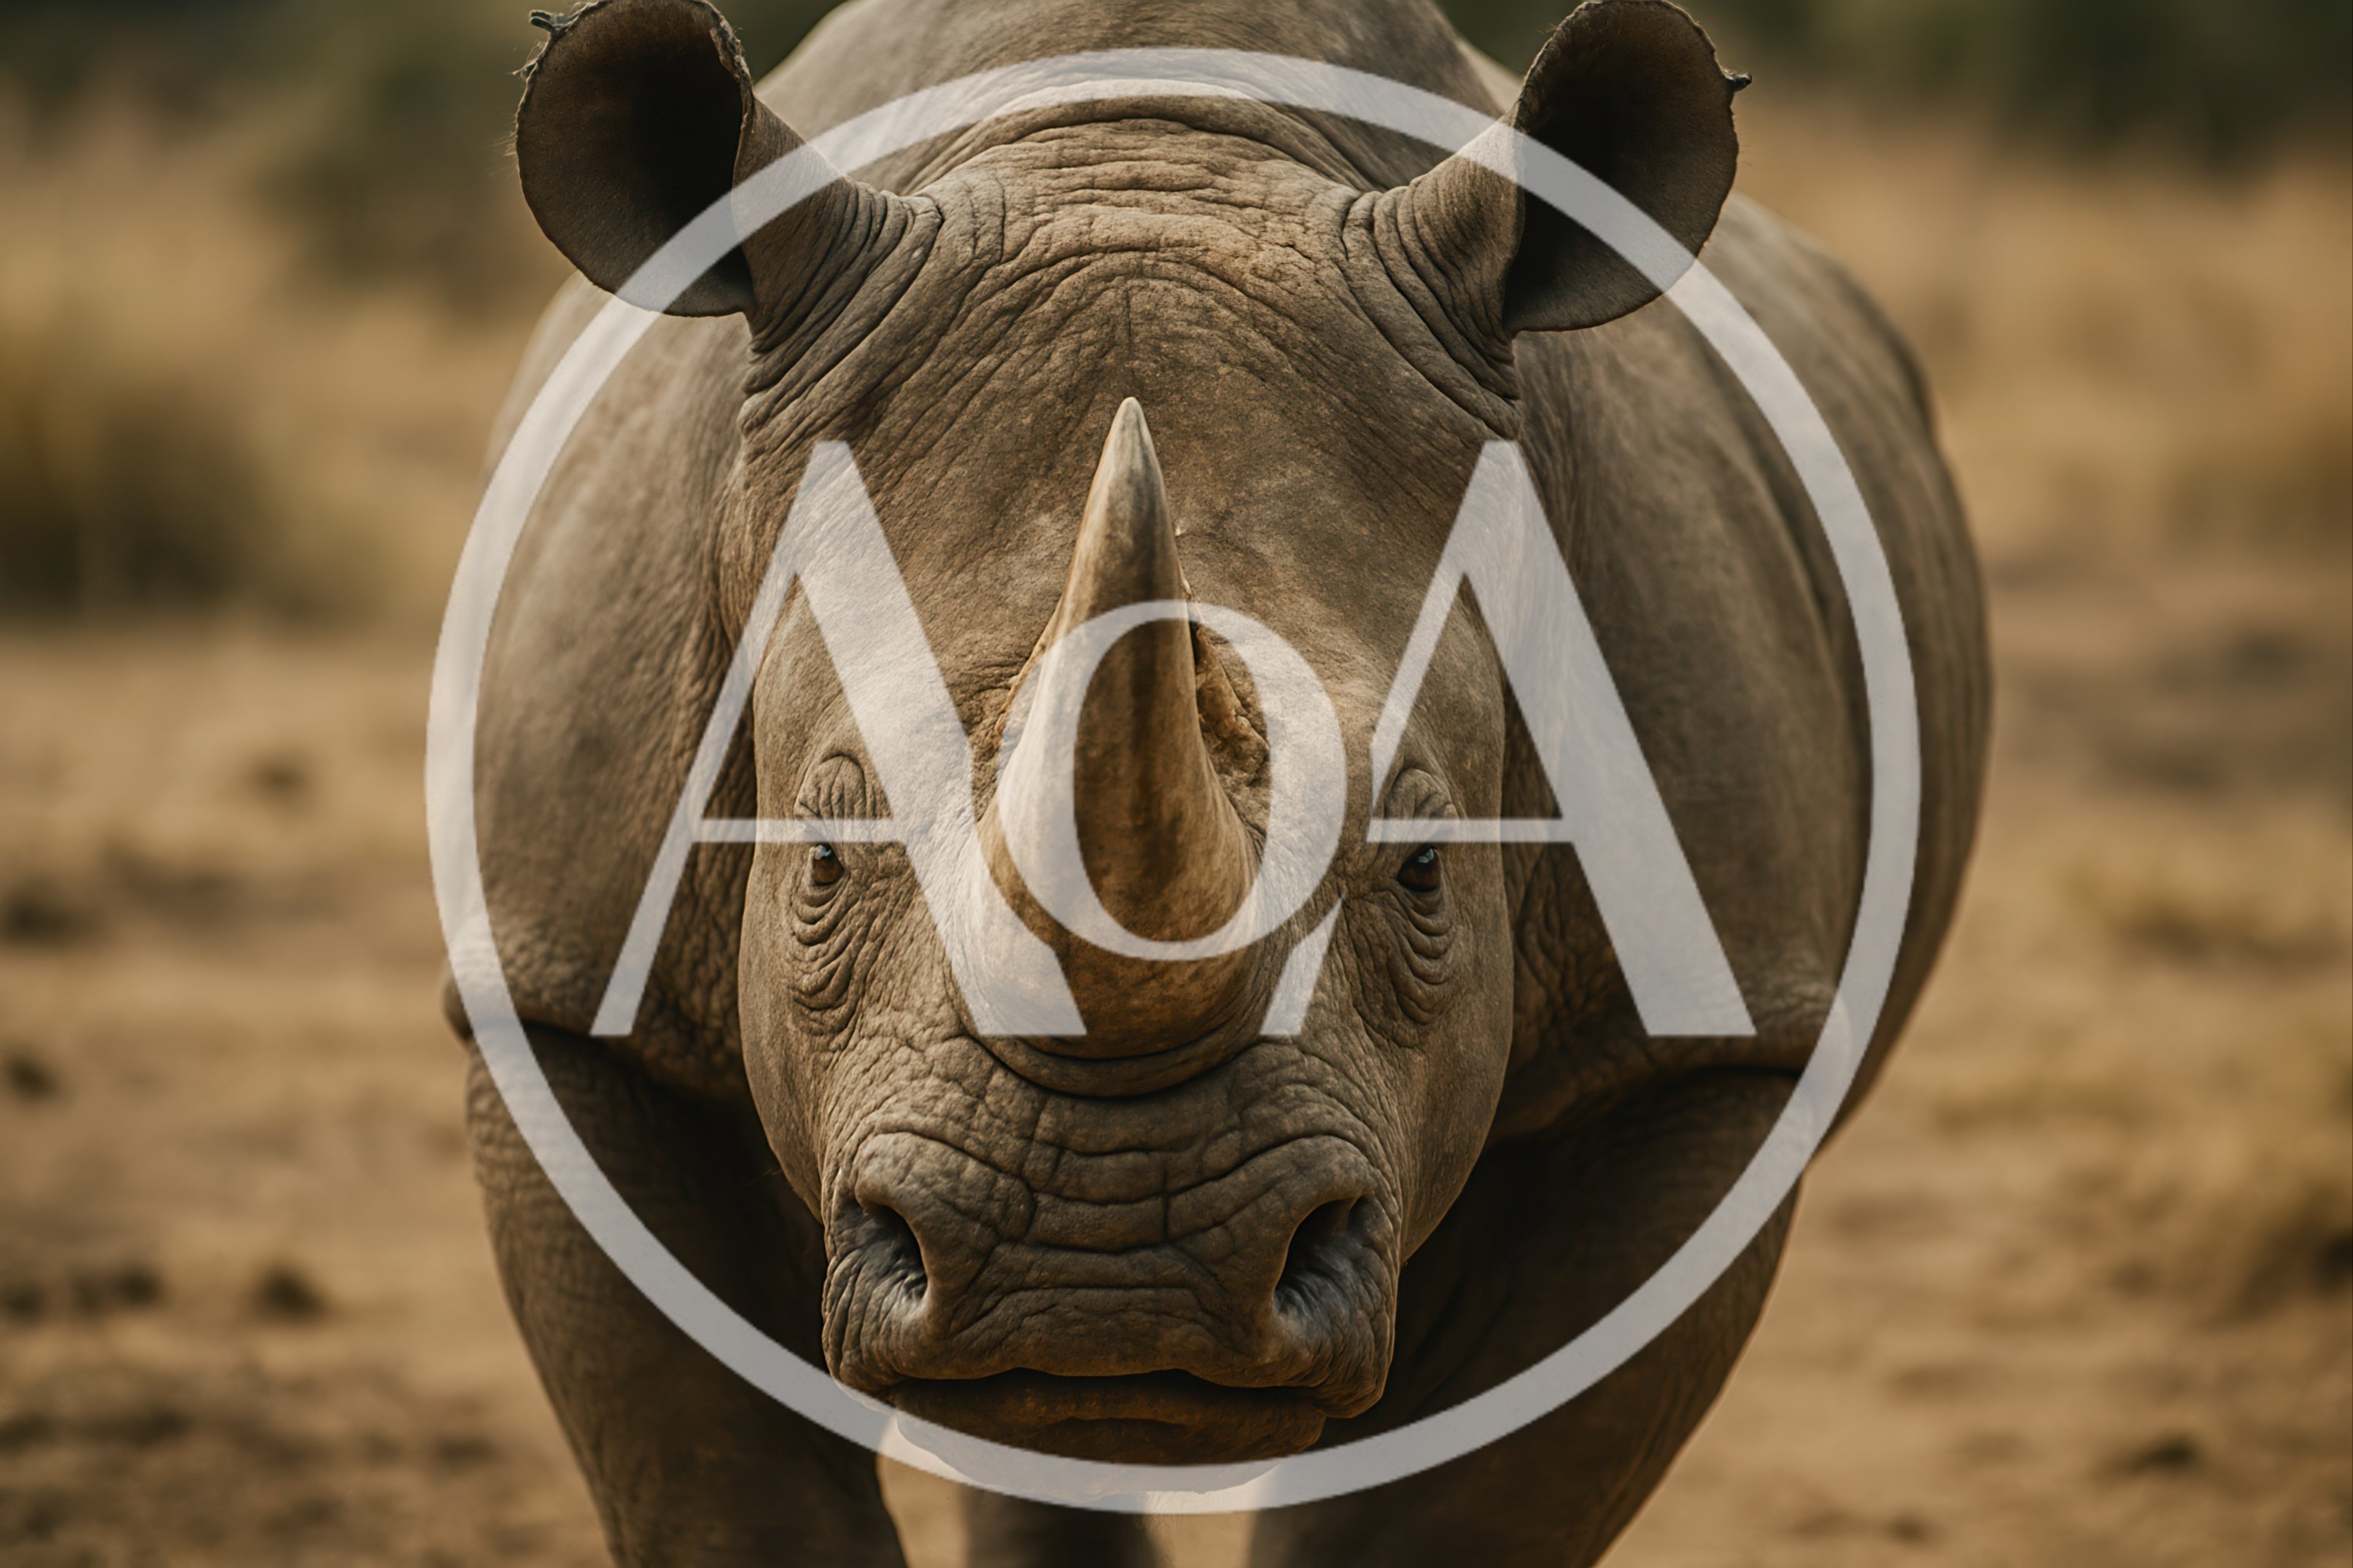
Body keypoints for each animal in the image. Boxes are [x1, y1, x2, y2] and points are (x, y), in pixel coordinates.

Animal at [453, 0, 1989, 1562]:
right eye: (816, 859)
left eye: (1428, 869)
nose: (1104, 1268)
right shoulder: (568, 990)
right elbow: (723, 1490)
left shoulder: (1701, 1048)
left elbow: (1452, 1511)